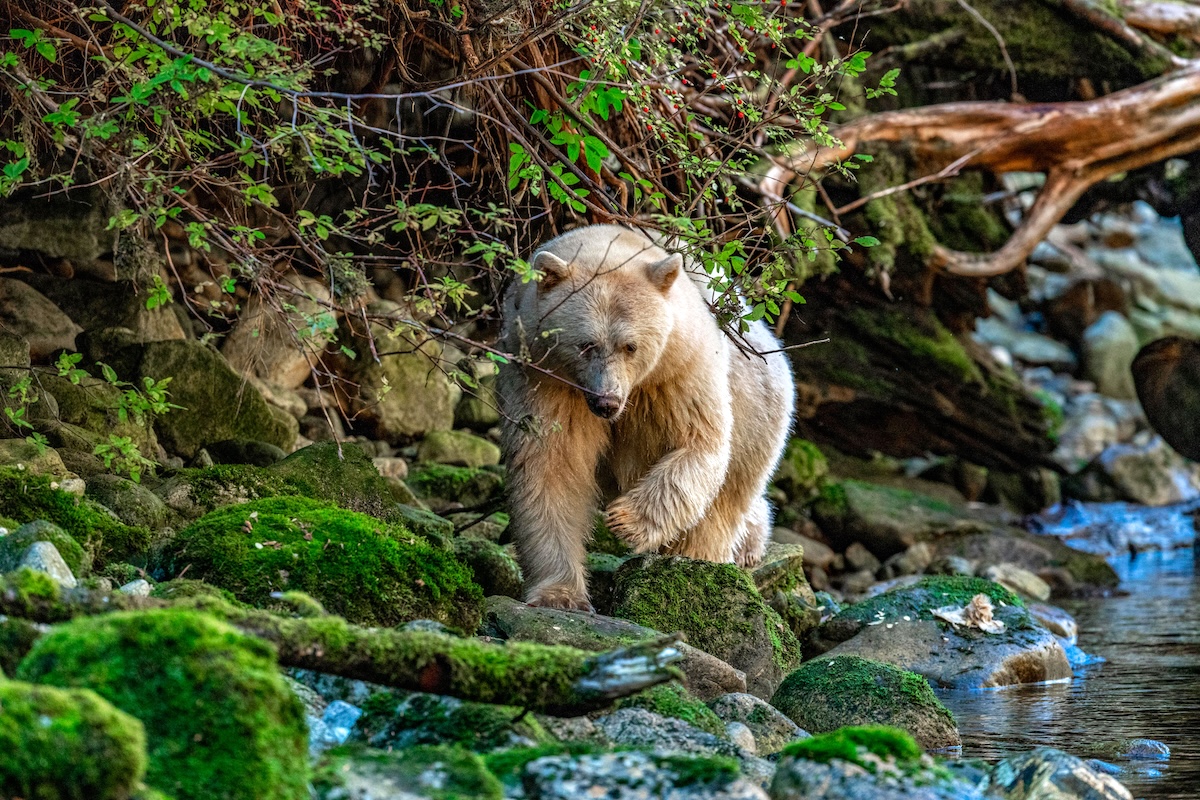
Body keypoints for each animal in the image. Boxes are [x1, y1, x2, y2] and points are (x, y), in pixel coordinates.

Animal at [498, 224, 795, 611]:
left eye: (631, 346)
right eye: (585, 345)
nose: (607, 402)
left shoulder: (677, 372)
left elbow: (697, 444)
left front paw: (624, 521)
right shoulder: (543, 378)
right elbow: (550, 466)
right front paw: (560, 596)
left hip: (757, 412)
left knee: (723, 503)